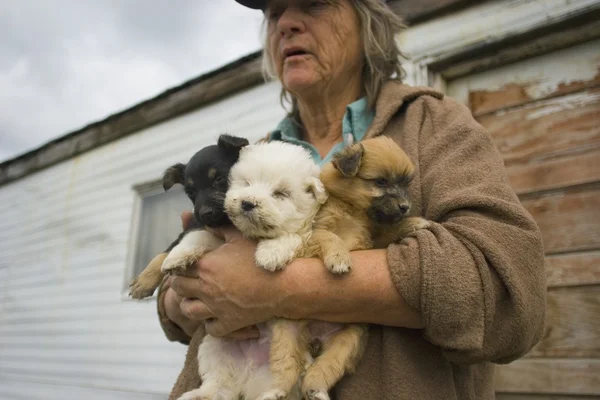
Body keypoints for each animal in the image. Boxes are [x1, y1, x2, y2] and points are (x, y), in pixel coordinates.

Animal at [129, 133, 248, 298]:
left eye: (219, 179)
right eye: (190, 192)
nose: (205, 214)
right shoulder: (191, 227)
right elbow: (166, 251)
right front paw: (144, 281)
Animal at [177, 141, 326, 400]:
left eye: (280, 194)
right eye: (246, 183)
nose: (247, 203)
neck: (254, 237)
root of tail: (247, 376)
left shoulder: (308, 237)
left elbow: (291, 236)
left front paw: (270, 253)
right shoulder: (217, 237)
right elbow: (199, 236)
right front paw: (176, 257)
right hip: (215, 347)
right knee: (219, 385)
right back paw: (197, 395)